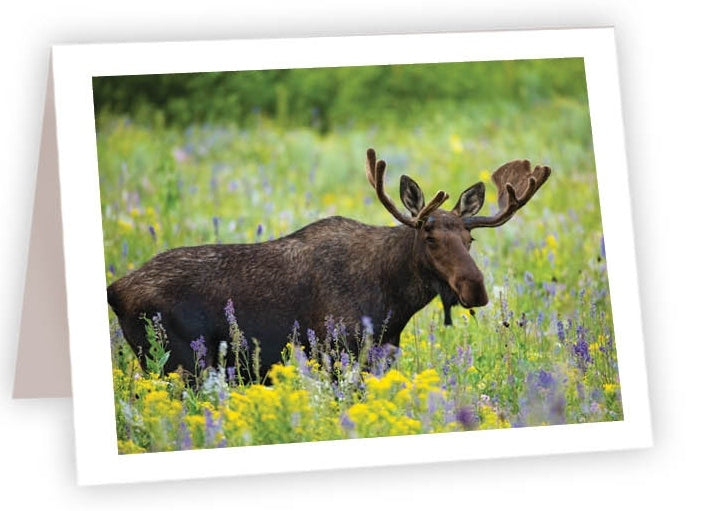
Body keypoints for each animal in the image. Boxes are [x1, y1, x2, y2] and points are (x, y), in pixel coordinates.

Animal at [107, 148, 550, 381]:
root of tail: (115, 290)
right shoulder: (336, 353)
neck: (393, 303)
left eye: (470, 239)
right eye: (429, 237)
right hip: (178, 362)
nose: (475, 288)